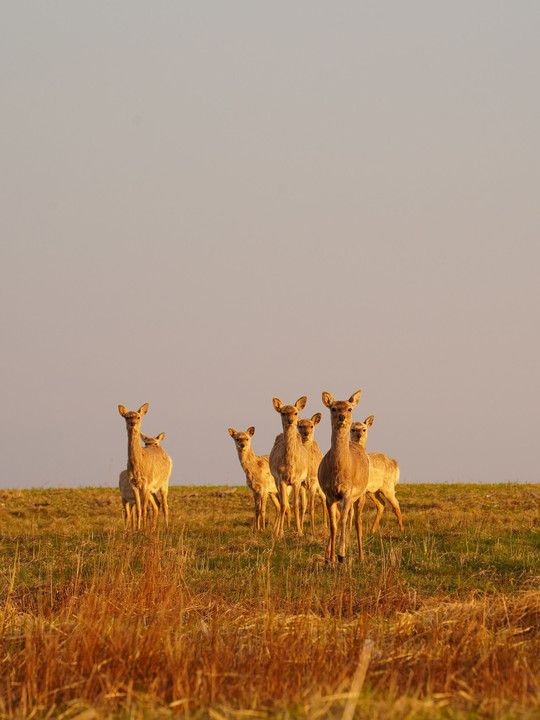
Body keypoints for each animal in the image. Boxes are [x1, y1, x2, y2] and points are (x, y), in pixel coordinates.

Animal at [117, 402, 171, 532]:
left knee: (165, 505)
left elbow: (144, 509)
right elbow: (138, 509)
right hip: (152, 490)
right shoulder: (134, 484)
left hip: (164, 482)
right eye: (127, 417)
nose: (133, 423)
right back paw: (153, 529)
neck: (138, 467)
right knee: (157, 504)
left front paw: (144, 530)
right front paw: (138, 529)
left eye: (138, 417)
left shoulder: (147, 483)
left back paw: (167, 529)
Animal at [316, 390, 372, 564]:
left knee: (357, 521)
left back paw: (361, 556)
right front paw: (331, 557)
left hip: (361, 494)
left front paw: (341, 555)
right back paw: (329, 554)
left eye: (349, 408)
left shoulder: (348, 492)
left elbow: (343, 521)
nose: (342, 417)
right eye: (333, 408)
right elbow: (333, 525)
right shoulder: (329, 494)